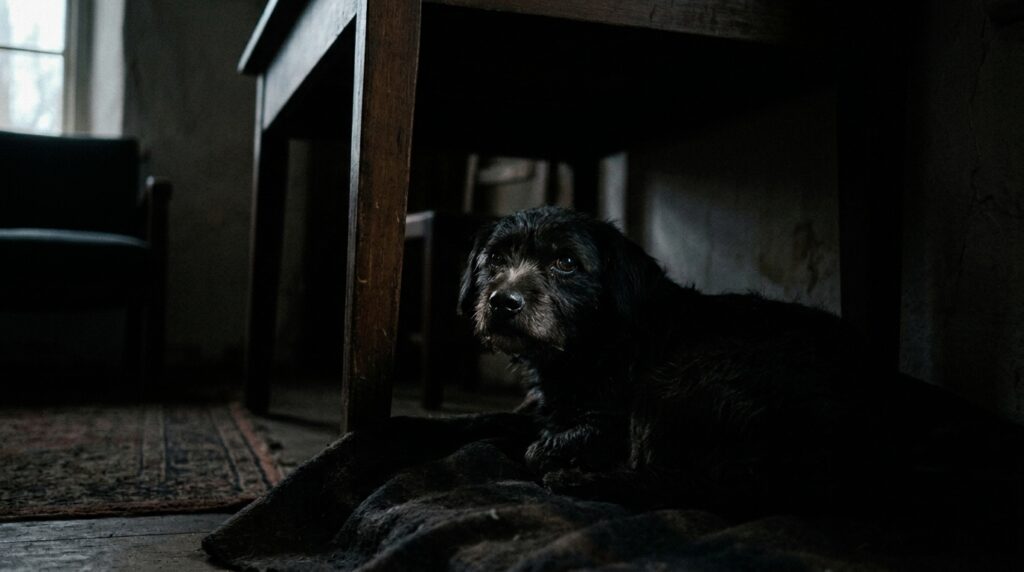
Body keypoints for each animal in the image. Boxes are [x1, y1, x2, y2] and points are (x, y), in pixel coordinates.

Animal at [457, 206, 1019, 518]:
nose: (503, 302)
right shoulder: (546, 409)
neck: (591, 345)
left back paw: (584, 481)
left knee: (709, 485)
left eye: (566, 262)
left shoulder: (611, 421)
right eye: (495, 259)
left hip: (681, 382)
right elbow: (490, 421)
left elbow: (540, 446)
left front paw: (560, 458)